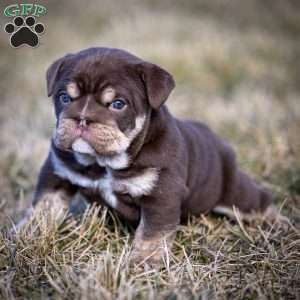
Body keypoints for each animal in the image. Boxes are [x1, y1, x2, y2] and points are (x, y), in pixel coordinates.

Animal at [25, 47, 282, 268]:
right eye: (64, 98)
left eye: (118, 104)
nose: (82, 118)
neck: (102, 163)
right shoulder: (57, 173)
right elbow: (44, 206)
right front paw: (27, 234)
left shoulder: (161, 195)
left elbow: (152, 233)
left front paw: (144, 262)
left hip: (235, 194)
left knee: (256, 202)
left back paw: (278, 223)